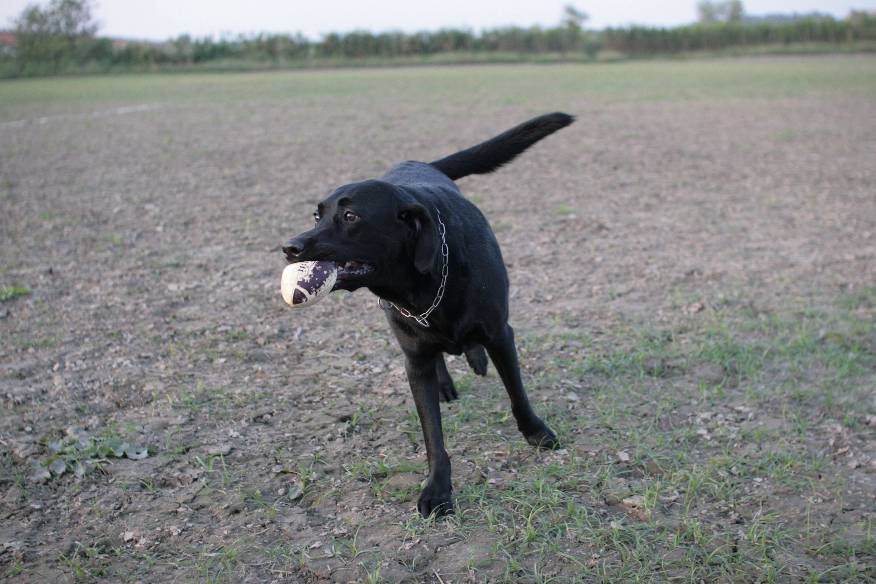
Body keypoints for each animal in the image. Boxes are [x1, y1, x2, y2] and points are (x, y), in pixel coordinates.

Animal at [282, 112, 574, 517]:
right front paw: (437, 488)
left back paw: (475, 358)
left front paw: (536, 432)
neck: (424, 283)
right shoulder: (414, 360)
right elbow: (432, 434)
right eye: (317, 215)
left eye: (351, 215)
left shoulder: (501, 333)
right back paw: (448, 380)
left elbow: (516, 391)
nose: (289, 247)